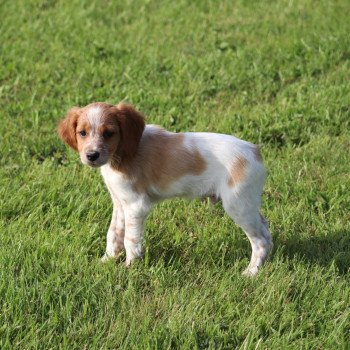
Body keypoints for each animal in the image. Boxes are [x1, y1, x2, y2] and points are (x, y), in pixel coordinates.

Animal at [57, 102, 272, 274]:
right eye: (82, 133)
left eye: (109, 133)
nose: (91, 155)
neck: (121, 154)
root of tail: (255, 151)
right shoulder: (119, 202)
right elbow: (114, 233)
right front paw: (106, 261)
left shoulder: (136, 205)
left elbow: (130, 239)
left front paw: (129, 268)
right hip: (247, 204)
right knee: (265, 230)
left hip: (237, 205)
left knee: (259, 241)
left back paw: (251, 272)